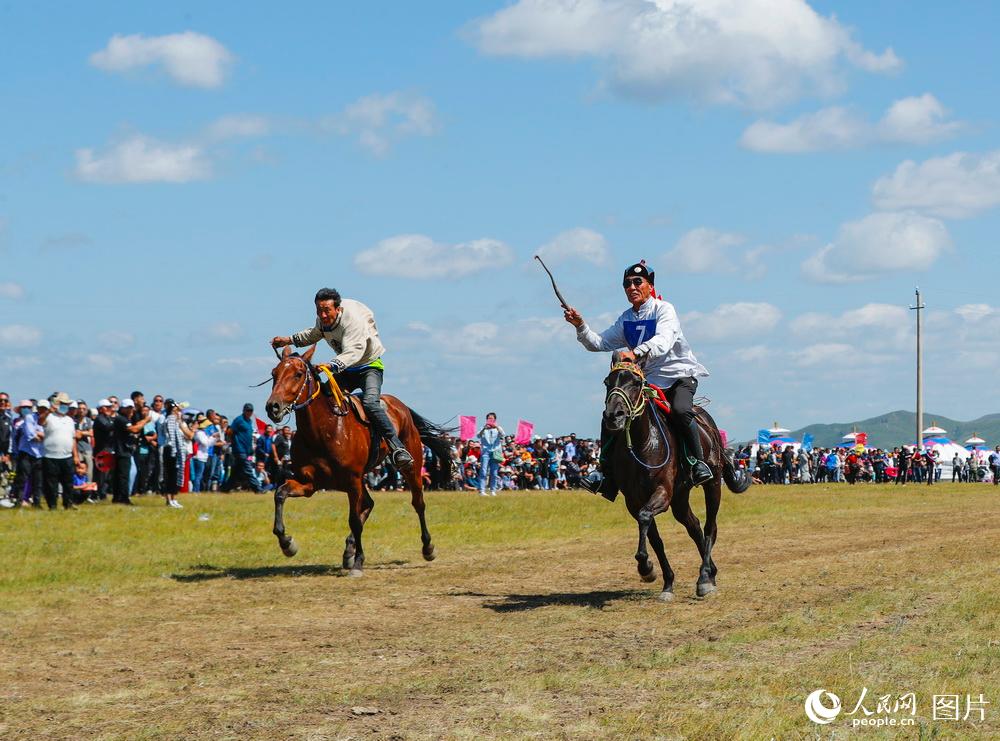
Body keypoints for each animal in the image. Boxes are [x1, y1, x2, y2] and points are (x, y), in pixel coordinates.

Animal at [266, 344, 454, 576]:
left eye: (298, 374)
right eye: (274, 374)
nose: (273, 407)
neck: (322, 430)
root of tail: (400, 407)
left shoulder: (352, 480)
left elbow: (354, 520)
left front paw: (358, 562)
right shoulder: (310, 483)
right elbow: (280, 493)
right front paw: (287, 544)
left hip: (411, 467)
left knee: (417, 503)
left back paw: (427, 547)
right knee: (369, 503)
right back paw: (348, 550)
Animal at [600, 354, 752, 600]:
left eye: (636, 383)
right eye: (607, 382)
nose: (614, 416)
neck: (643, 442)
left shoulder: (662, 491)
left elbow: (646, 517)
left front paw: (646, 568)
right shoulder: (633, 500)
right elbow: (655, 538)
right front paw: (664, 581)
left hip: (712, 485)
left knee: (710, 527)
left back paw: (704, 578)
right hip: (680, 497)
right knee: (694, 526)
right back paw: (711, 573)